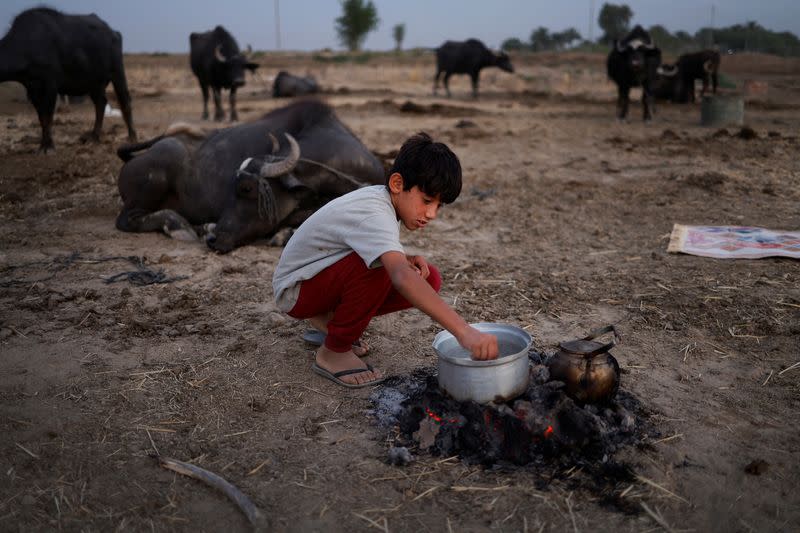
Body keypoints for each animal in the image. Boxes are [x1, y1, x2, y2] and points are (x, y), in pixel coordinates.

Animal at [0, 6, 137, 152]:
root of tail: (114, 33)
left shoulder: (50, 85)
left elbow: (48, 115)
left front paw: (48, 147)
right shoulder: (32, 89)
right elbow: (41, 117)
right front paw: (43, 145)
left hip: (117, 72)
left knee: (125, 101)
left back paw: (132, 137)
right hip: (95, 84)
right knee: (100, 104)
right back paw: (94, 137)